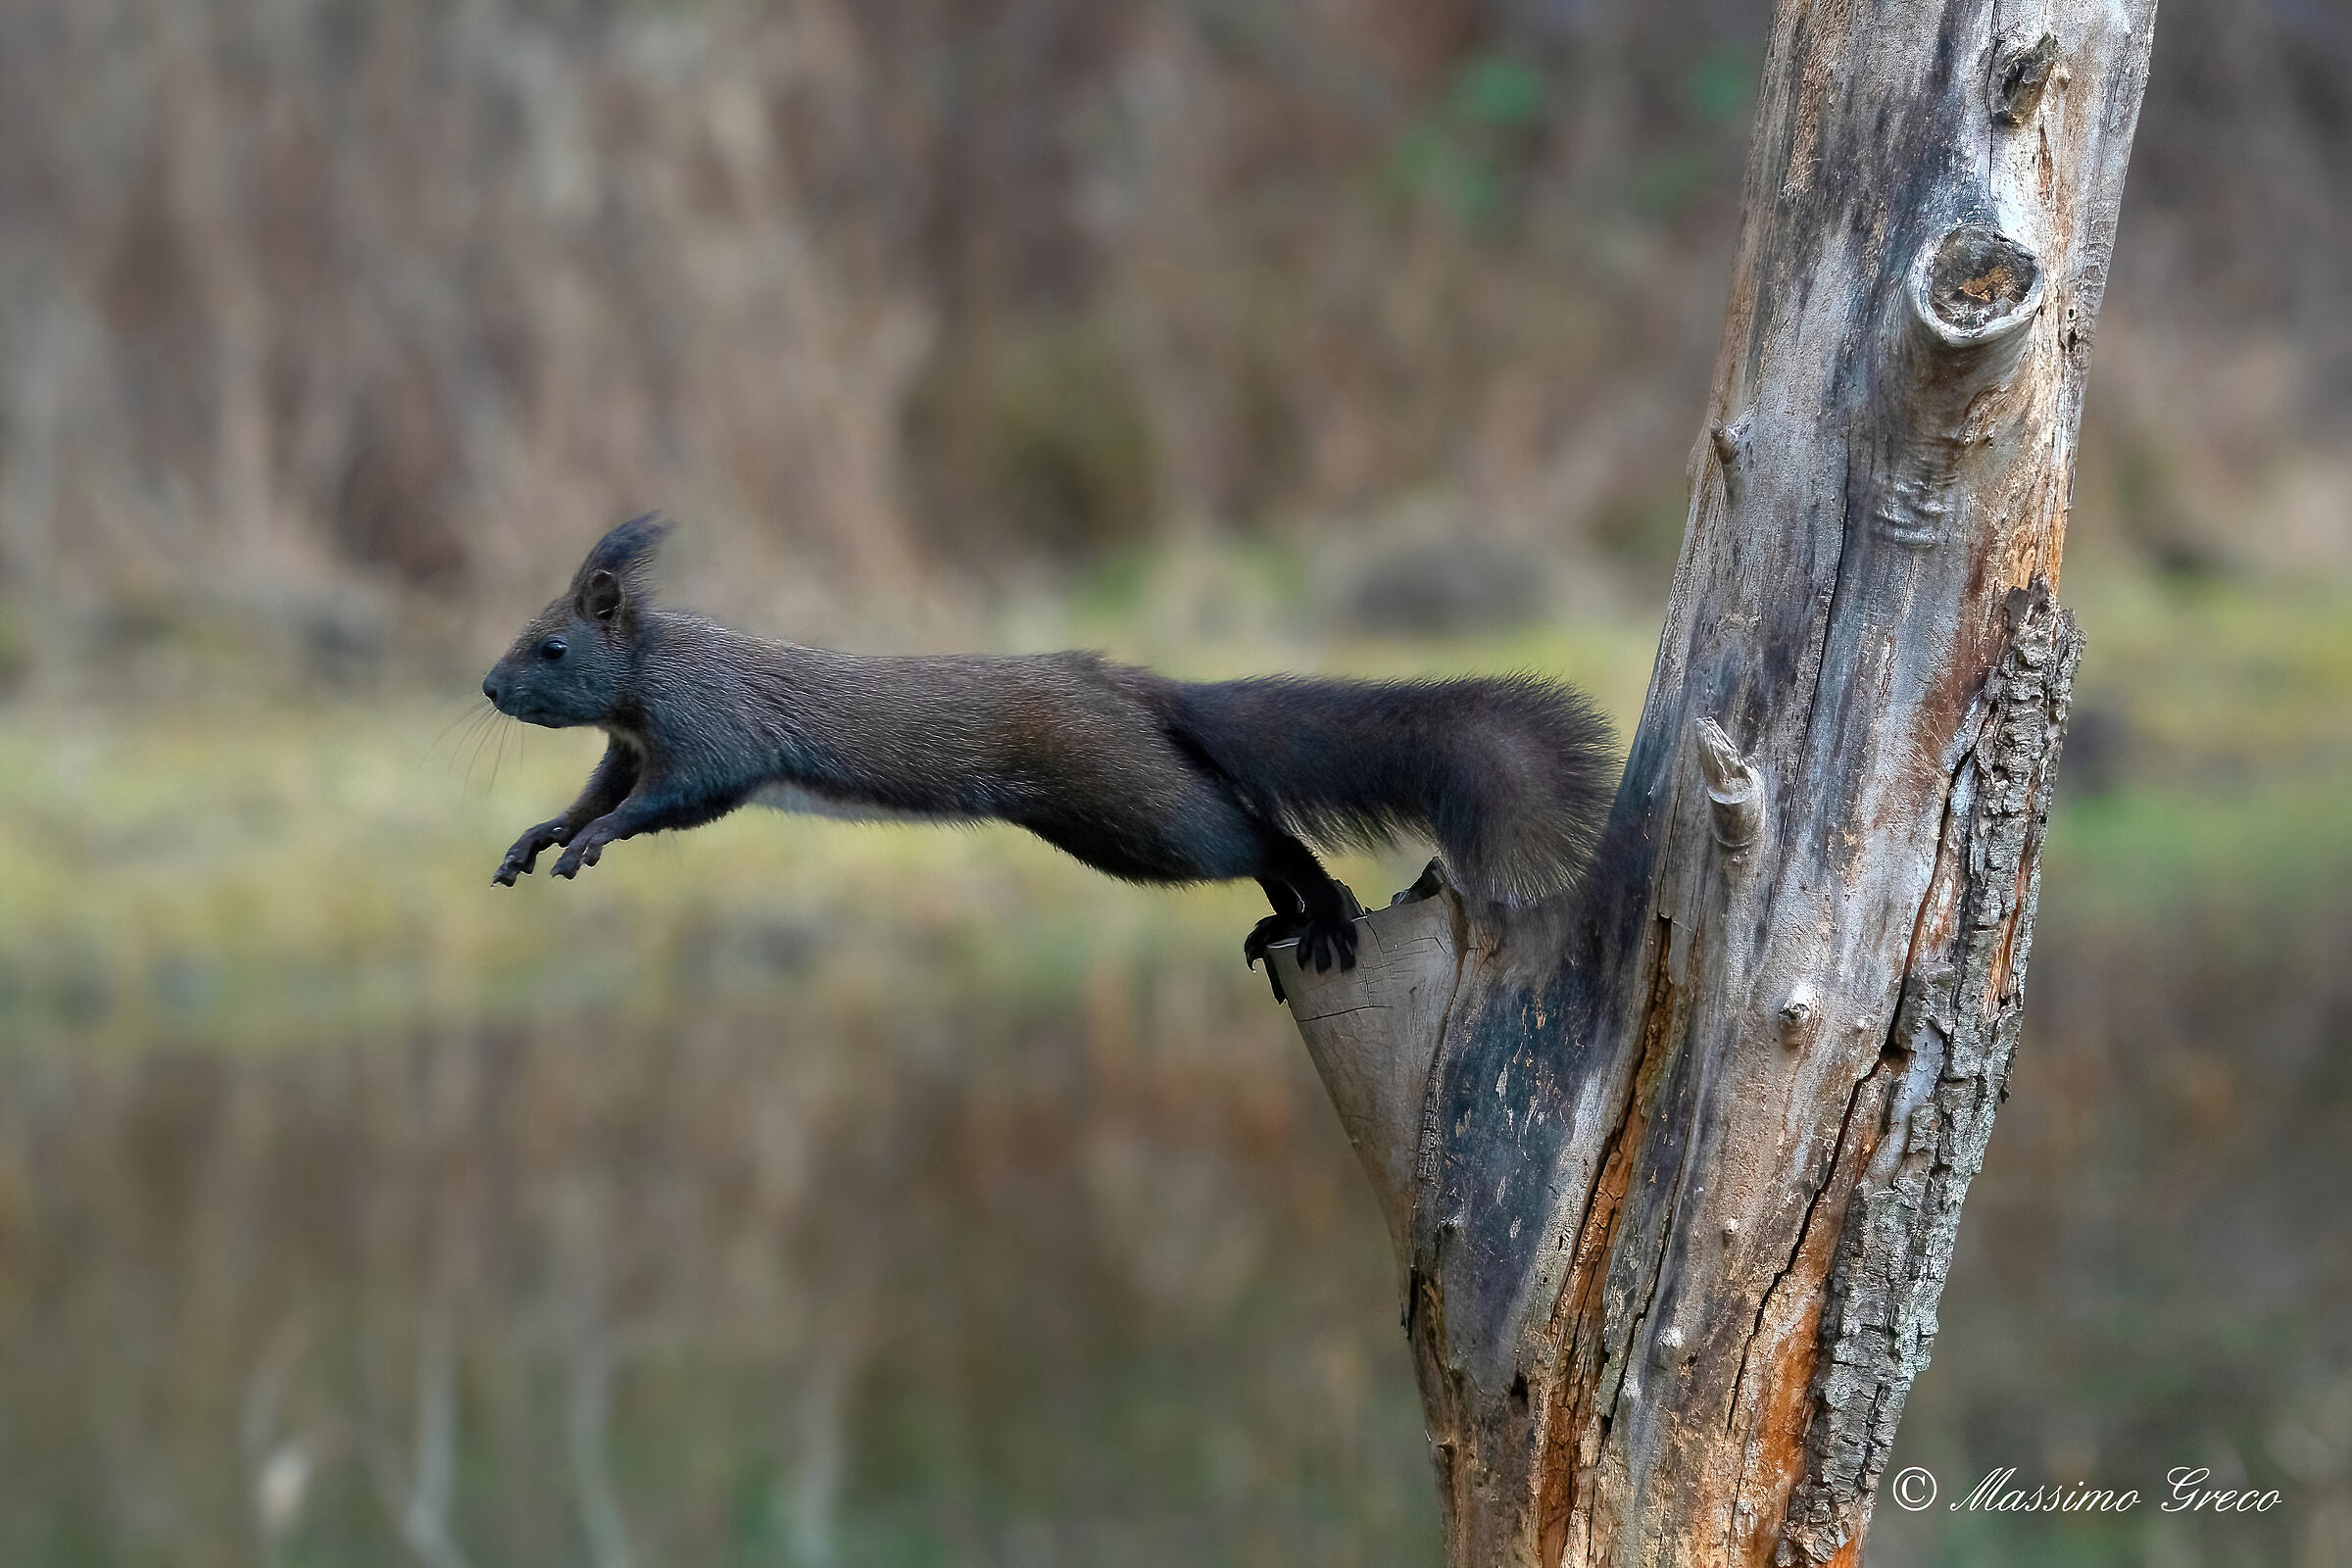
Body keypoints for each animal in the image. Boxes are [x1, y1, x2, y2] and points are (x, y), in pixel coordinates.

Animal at [482, 517, 1615, 998]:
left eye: (553, 647)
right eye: (527, 634)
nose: (488, 689)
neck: (651, 674)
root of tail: (1136, 690)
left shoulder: (710, 734)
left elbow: (670, 800)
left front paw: (594, 842)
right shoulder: (626, 746)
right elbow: (595, 792)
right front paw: (540, 837)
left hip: (1132, 805)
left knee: (1261, 834)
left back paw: (1327, 910)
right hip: (1104, 822)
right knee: (1253, 843)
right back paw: (1285, 922)